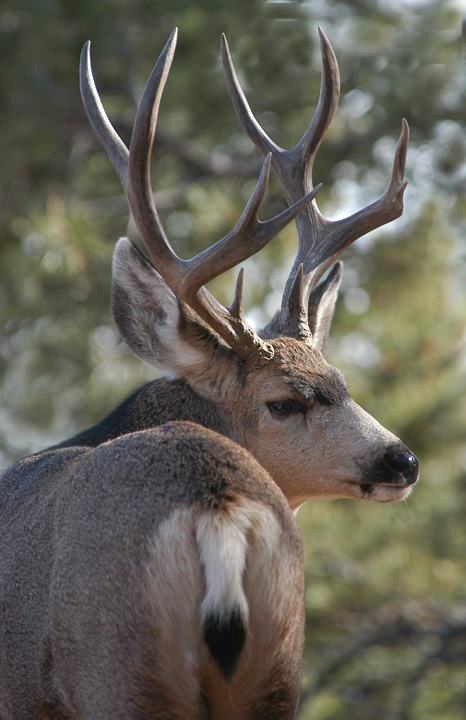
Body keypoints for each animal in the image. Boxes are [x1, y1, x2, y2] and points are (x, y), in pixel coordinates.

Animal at [0, 28, 419, 720]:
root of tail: (215, 508)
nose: (402, 460)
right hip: (277, 664)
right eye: (284, 402)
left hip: (119, 669)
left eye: (344, 384)